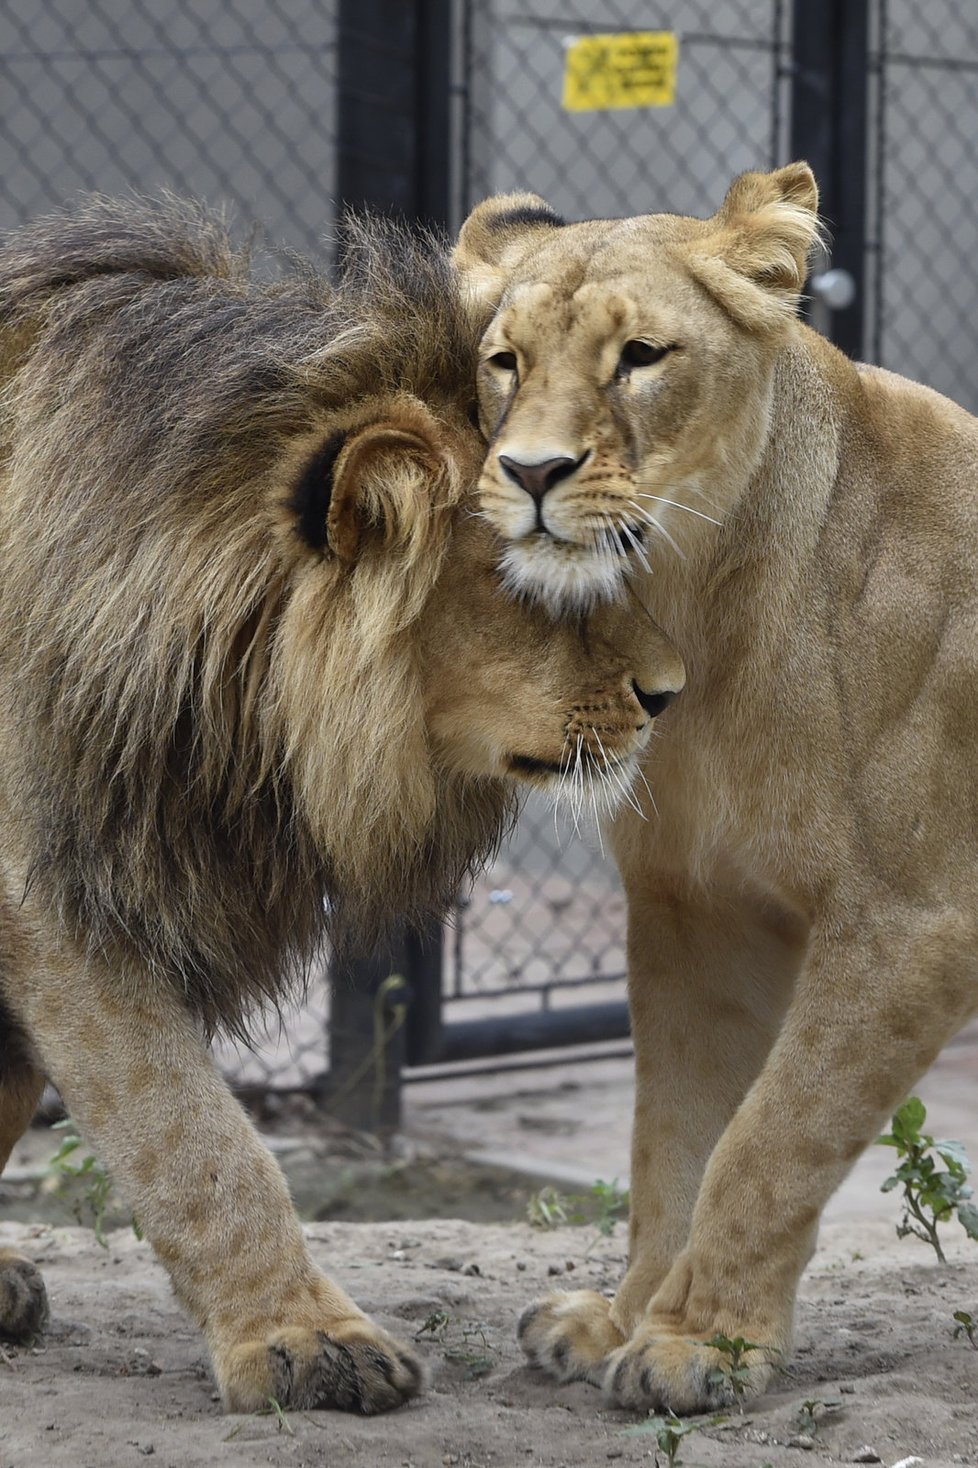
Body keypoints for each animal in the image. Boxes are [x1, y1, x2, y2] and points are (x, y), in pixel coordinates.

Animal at [452, 166, 975, 1415]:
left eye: (641, 355)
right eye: (506, 362)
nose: (529, 473)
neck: (694, 601)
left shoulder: (910, 922)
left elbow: (771, 1134)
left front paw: (701, 1343)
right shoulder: (699, 907)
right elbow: (676, 1135)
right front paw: (625, 1318)